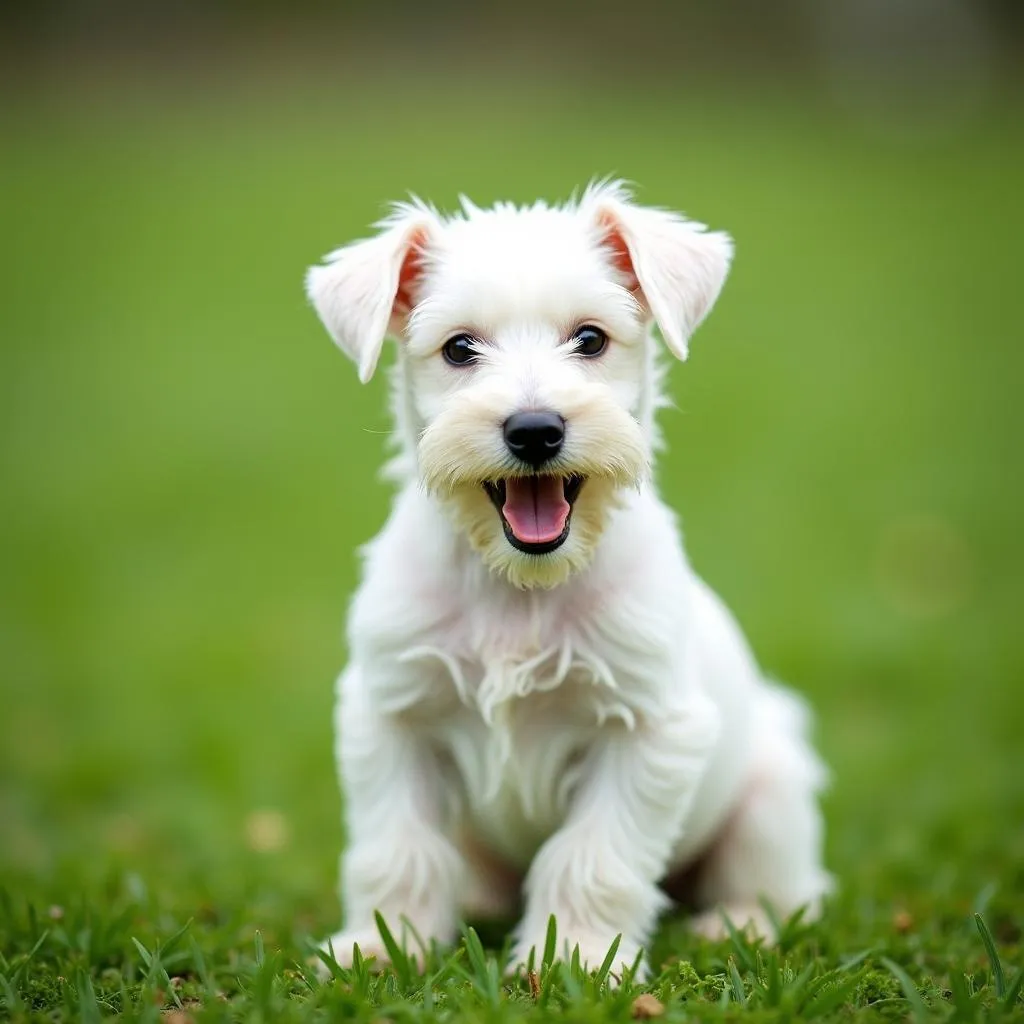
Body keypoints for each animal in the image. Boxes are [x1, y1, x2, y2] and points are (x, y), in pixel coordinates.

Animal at [303, 182, 831, 974]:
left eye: (590, 339)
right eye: (459, 348)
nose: (534, 430)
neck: (519, 586)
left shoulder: (645, 730)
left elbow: (593, 857)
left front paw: (575, 958)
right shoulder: (393, 715)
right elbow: (396, 849)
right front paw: (381, 945)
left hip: (771, 793)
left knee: (787, 885)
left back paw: (739, 925)